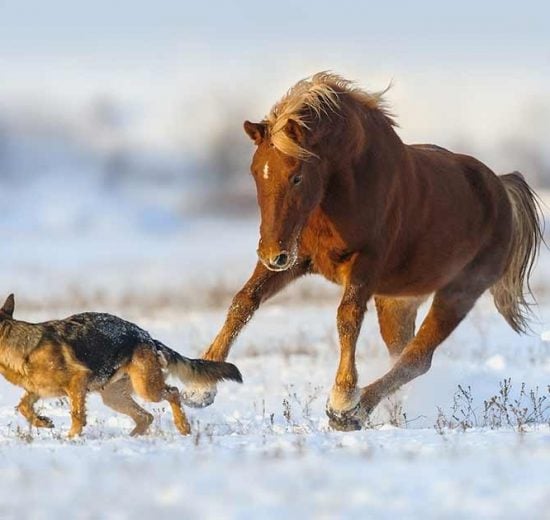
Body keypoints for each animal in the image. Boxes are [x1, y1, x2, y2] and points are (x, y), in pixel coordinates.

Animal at [0, 294, 244, 436]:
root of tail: (149, 338)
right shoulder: (36, 390)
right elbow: (23, 407)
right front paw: (43, 422)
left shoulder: (77, 383)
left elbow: (77, 414)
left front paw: (71, 439)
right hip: (114, 397)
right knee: (146, 416)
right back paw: (135, 438)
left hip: (147, 389)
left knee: (173, 392)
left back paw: (183, 427)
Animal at [184, 73, 544, 430]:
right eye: (257, 172)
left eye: (296, 176)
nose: (272, 253)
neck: (346, 186)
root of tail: (501, 188)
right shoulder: (297, 260)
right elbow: (244, 301)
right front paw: (200, 387)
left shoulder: (365, 264)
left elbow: (348, 317)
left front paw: (343, 397)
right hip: (397, 301)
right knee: (403, 354)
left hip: (459, 292)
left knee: (417, 357)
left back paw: (352, 413)